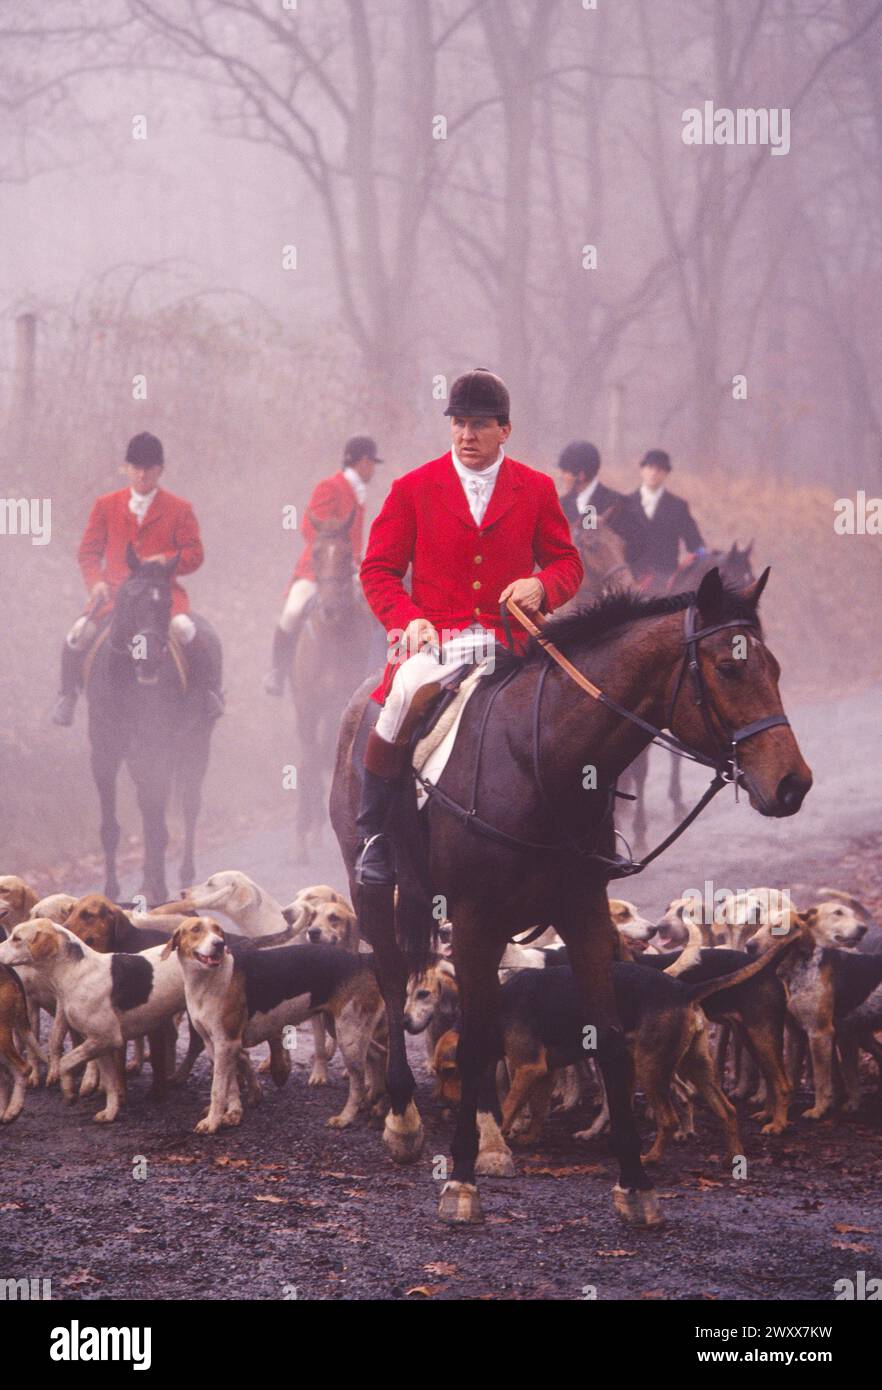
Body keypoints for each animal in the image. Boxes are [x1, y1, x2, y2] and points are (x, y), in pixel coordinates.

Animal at [85, 542, 219, 900]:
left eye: (168, 603)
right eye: (131, 598)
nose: (147, 661)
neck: (126, 683)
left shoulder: (155, 749)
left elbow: (156, 818)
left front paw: (158, 886)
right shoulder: (105, 752)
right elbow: (112, 826)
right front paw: (111, 890)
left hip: (195, 744)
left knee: (188, 806)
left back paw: (182, 876)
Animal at [333, 569, 816, 1223]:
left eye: (776, 668)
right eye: (728, 668)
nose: (793, 784)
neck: (541, 760)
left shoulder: (581, 913)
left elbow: (606, 1036)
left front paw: (634, 1184)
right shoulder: (476, 917)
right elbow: (476, 1038)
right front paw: (459, 1180)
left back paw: (491, 1135)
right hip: (371, 889)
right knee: (389, 977)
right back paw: (405, 1120)